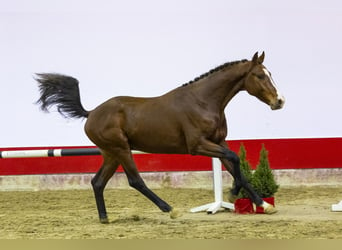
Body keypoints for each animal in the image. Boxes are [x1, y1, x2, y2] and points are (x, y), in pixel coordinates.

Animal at [36, 51, 284, 224]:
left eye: (271, 74)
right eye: (260, 75)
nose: (279, 101)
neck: (203, 101)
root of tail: (91, 113)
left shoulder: (218, 142)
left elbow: (235, 165)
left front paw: (263, 204)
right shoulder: (198, 145)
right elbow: (234, 158)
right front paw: (233, 196)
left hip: (111, 153)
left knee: (97, 182)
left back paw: (104, 218)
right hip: (121, 149)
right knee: (135, 180)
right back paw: (170, 209)